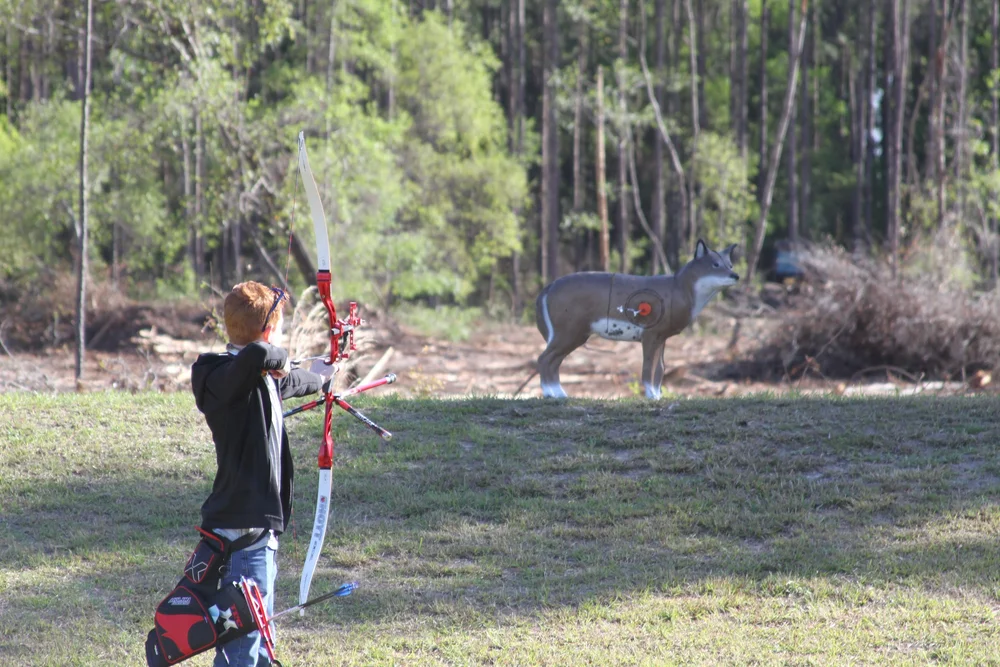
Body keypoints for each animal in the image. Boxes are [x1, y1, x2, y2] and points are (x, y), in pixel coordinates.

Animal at [534, 239, 740, 399]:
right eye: (715, 264)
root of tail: (547, 288)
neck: (679, 290)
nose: (735, 275)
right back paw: (552, 393)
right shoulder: (650, 333)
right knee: (544, 358)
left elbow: (661, 367)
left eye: (729, 264)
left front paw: (658, 395)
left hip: (572, 333)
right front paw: (651, 396)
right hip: (569, 330)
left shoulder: (662, 336)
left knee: (552, 360)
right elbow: (648, 367)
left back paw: (558, 393)